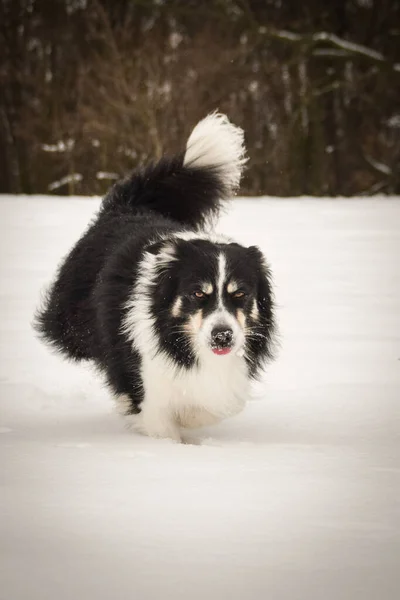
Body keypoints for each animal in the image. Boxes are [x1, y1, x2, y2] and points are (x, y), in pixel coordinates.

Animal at [35, 112, 276, 440]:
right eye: (197, 294)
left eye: (240, 294)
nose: (223, 335)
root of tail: (126, 207)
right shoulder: (148, 376)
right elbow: (159, 419)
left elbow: (211, 405)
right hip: (71, 322)